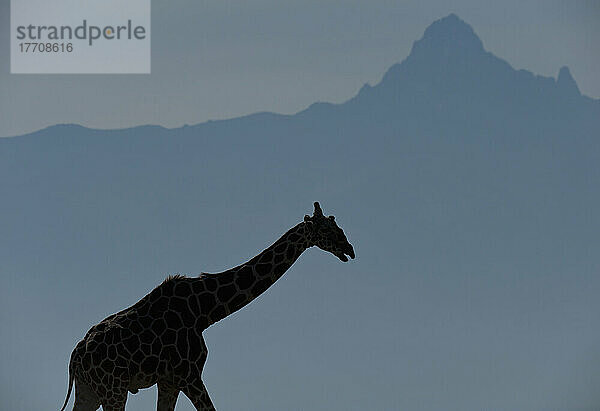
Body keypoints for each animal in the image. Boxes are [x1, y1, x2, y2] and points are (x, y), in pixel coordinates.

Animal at [58, 203, 354, 411]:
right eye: (325, 230)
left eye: (337, 225)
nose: (349, 249)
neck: (205, 310)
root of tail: (75, 358)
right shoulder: (189, 374)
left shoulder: (169, 380)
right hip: (113, 388)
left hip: (90, 390)